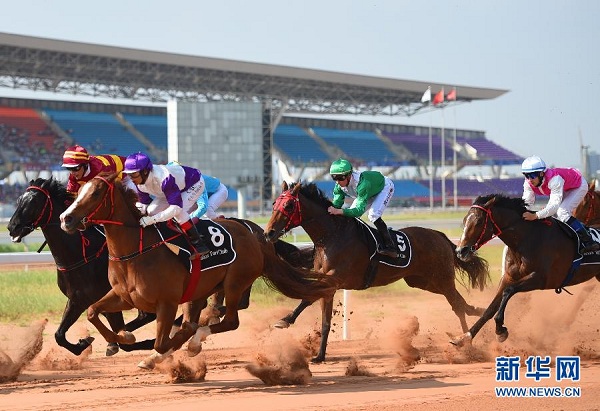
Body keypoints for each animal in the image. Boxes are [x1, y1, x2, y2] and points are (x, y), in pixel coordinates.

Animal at [7, 179, 166, 356]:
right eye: (19, 200)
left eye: (34, 201)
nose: (12, 227)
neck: (81, 257)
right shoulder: (78, 300)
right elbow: (59, 335)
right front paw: (84, 343)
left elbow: (125, 341)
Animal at [59, 174, 338, 364]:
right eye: (77, 192)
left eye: (96, 193)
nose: (66, 219)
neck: (135, 253)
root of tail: (256, 234)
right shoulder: (123, 297)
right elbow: (93, 312)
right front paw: (115, 338)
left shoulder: (167, 302)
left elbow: (161, 342)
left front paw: (156, 349)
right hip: (201, 290)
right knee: (204, 316)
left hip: (234, 283)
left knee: (230, 321)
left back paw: (194, 339)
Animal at [264, 182, 490, 362]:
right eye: (274, 204)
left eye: (288, 205)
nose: (269, 233)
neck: (332, 236)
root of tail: (440, 236)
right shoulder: (328, 284)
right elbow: (325, 320)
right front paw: (319, 355)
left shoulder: (333, 279)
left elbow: (308, 298)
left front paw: (284, 321)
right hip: (422, 282)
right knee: (461, 303)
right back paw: (478, 314)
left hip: (441, 278)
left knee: (457, 305)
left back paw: (466, 343)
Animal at [450, 195, 600, 346]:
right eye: (464, 220)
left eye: (479, 221)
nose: (460, 251)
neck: (525, 239)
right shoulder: (508, 277)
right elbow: (490, 309)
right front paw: (464, 338)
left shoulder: (541, 279)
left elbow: (508, 291)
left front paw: (500, 329)